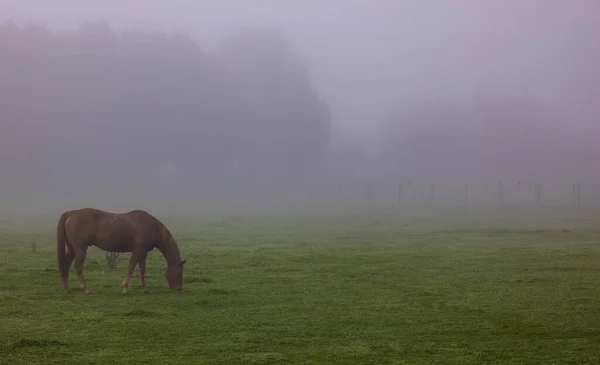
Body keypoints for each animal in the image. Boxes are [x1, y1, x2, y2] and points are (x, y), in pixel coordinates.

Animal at [58, 206, 188, 294]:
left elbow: (142, 270)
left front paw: (145, 288)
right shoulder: (137, 251)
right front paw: (124, 288)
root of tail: (71, 213)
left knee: (66, 264)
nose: (179, 288)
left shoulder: (143, 253)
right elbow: (131, 267)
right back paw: (86, 289)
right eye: (180, 272)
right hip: (80, 249)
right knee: (78, 266)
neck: (152, 227)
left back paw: (66, 288)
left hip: (72, 249)